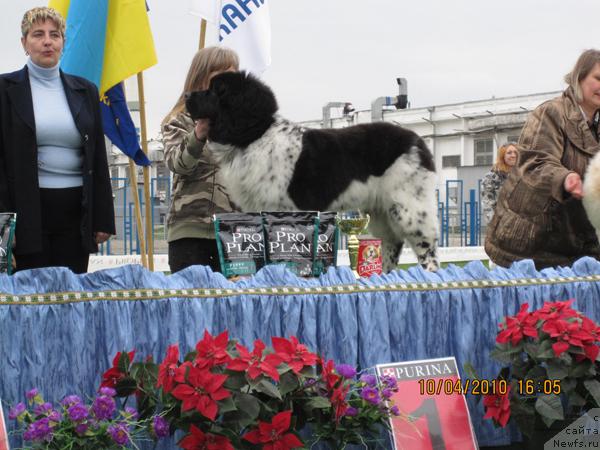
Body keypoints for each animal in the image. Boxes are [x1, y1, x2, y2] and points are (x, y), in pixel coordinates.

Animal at [188, 72, 440, 272]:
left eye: (215, 90)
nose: (187, 96)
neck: (253, 136)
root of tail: (418, 142)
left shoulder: (283, 208)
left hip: (410, 208)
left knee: (426, 247)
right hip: (382, 211)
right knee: (391, 243)